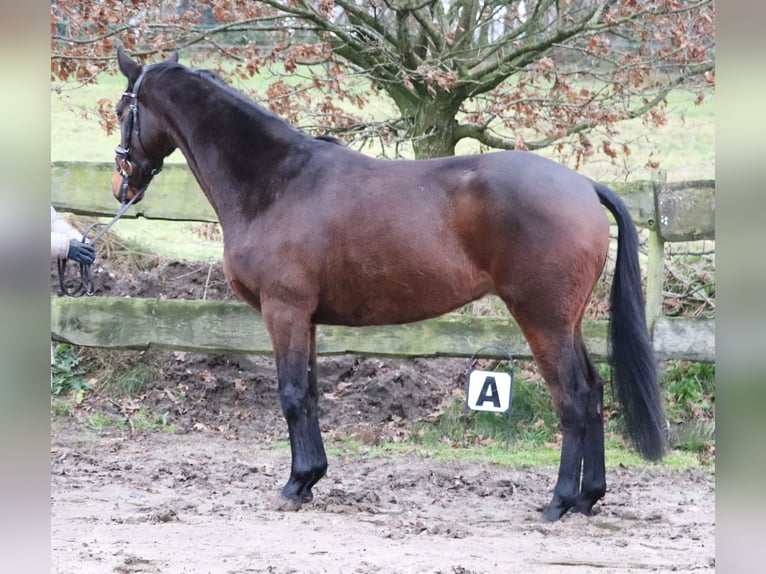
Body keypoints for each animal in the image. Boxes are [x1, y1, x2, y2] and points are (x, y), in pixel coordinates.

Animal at [112, 49, 664, 524]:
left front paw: (293, 486)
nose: (122, 186)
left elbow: (290, 394)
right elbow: (310, 393)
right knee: (593, 391)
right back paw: (588, 498)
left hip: (542, 318)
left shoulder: (283, 311)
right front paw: (310, 478)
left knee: (572, 397)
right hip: (568, 321)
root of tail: (583, 186)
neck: (277, 182)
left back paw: (559, 501)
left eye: (122, 109)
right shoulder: (307, 320)